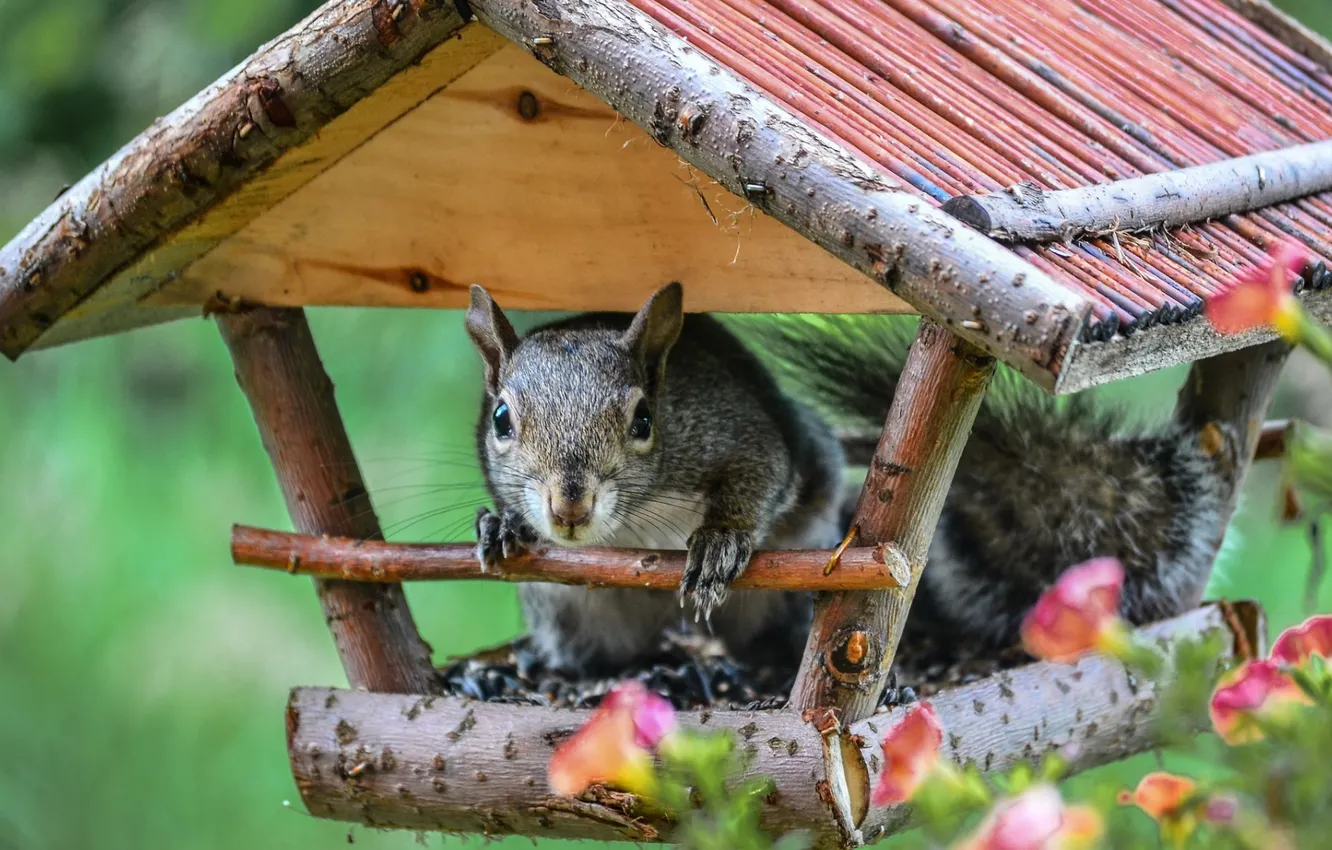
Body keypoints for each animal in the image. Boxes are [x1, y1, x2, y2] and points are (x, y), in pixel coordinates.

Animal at [465, 285, 1231, 675]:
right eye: (500, 418)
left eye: (644, 419)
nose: (568, 506)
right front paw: (498, 524)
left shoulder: (739, 431)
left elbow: (758, 477)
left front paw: (719, 542)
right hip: (571, 615)